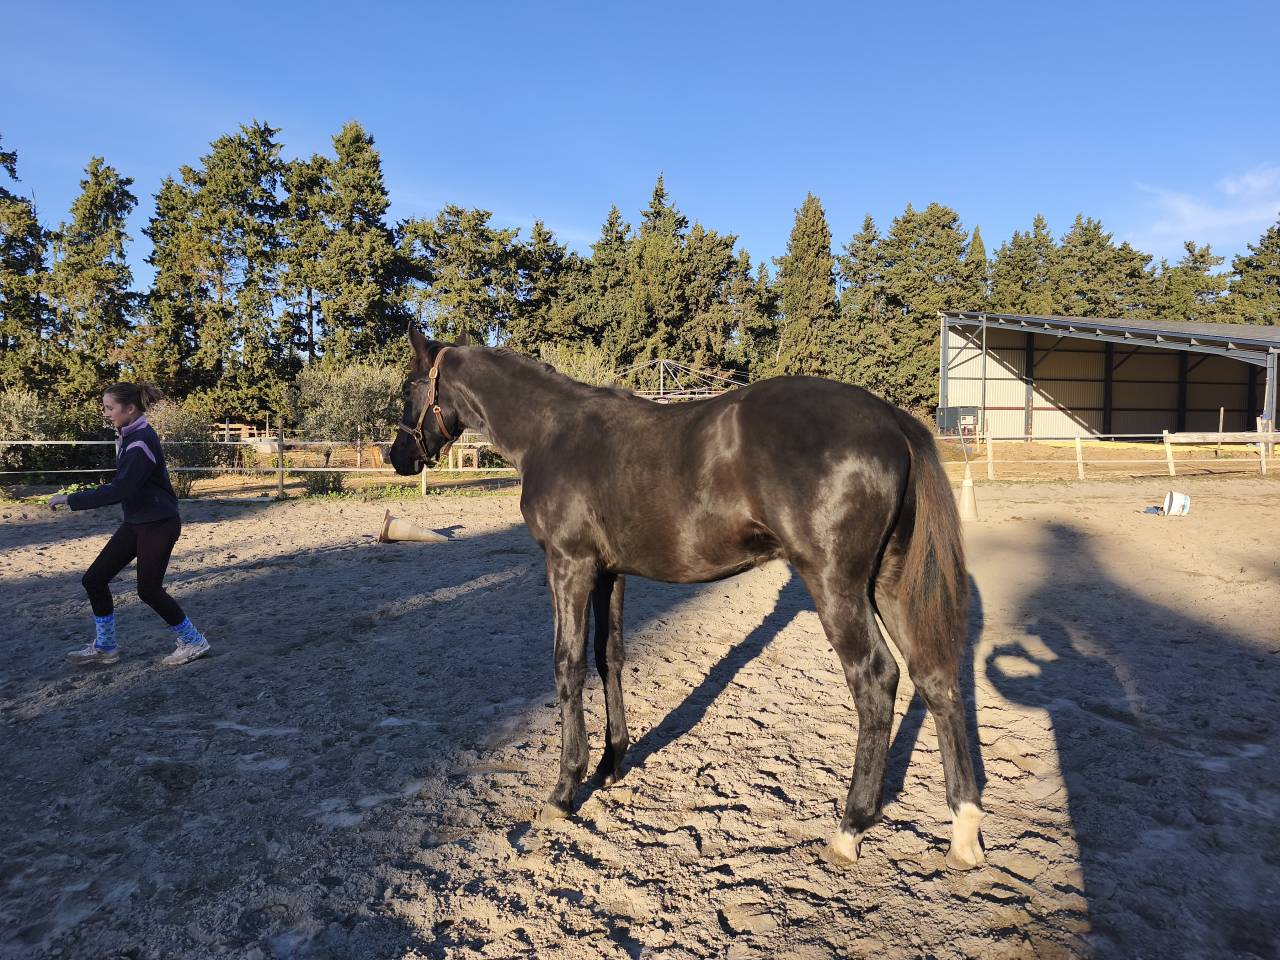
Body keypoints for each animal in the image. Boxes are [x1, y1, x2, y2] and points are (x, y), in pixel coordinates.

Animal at [389, 327, 985, 871]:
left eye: (408, 388)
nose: (398, 457)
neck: (551, 433)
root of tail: (891, 421)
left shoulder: (568, 566)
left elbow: (568, 665)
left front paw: (565, 789)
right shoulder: (609, 574)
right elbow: (609, 658)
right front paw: (612, 763)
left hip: (837, 586)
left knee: (877, 679)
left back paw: (851, 826)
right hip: (888, 583)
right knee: (935, 678)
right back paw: (964, 829)